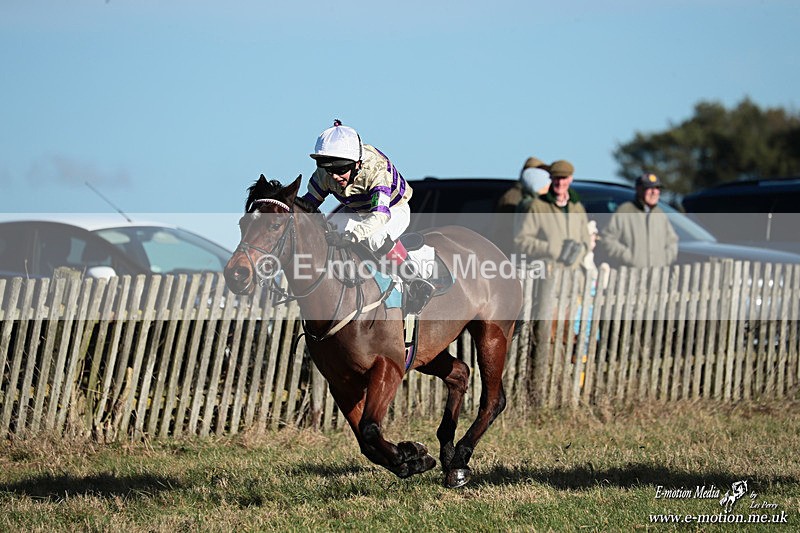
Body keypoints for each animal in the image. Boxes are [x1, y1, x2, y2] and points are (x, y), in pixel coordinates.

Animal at [224, 175, 523, 488]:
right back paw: (448, 451)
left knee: (493, 400)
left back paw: (461, 459)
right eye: (243, 224)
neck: (340, 291)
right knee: (460, 374)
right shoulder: (340, 381)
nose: (237, 274)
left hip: (492, 334)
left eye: (274, 225)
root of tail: (493, 250)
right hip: (426, 352)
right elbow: (365, 440)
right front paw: (411, 456)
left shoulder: (388, 366)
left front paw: (410, 456)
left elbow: (369, 428)